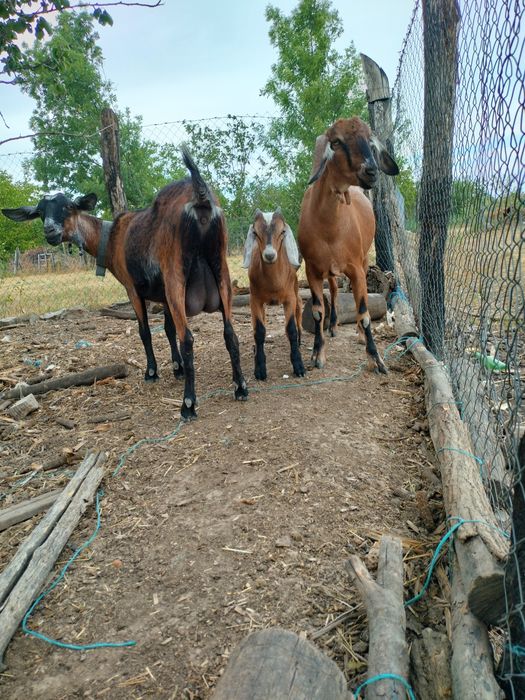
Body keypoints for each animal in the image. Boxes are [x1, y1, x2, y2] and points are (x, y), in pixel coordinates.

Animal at [2, 146, 248, 420]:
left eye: (67, 207)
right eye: (40, 213)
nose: (50, 232)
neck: (110, 238)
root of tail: (200, 197)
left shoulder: (132, 288)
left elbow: (146, 331)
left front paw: (152, 372)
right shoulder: (163, 294)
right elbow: (168, 329)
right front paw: (177, 368)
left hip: (176, 276)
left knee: (189, 340)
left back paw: (188, 405)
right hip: (221, 271)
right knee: (230, 333)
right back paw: (240, 388)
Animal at [243, 209, 305, 380]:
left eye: (282, 231)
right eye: (255, 233)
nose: (269, 255)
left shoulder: (289, 299)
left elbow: (291, 329)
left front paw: (299, 366)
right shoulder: (254, 300)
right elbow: (259, 331)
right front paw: (260, 369)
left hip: (295, 290)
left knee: (299, 309)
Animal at [297, 116, 399, 373]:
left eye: (370, 142)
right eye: (336, 142)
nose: (371, 171)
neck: (330, 229)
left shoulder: (355, 269)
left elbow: (363, 312)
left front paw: (376, 358)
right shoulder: (312, 270)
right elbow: (317, 312)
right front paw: (317, 355)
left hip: (362, 261)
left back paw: (361, 335)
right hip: (330, 271)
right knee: (333, 293)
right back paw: (333, 326)